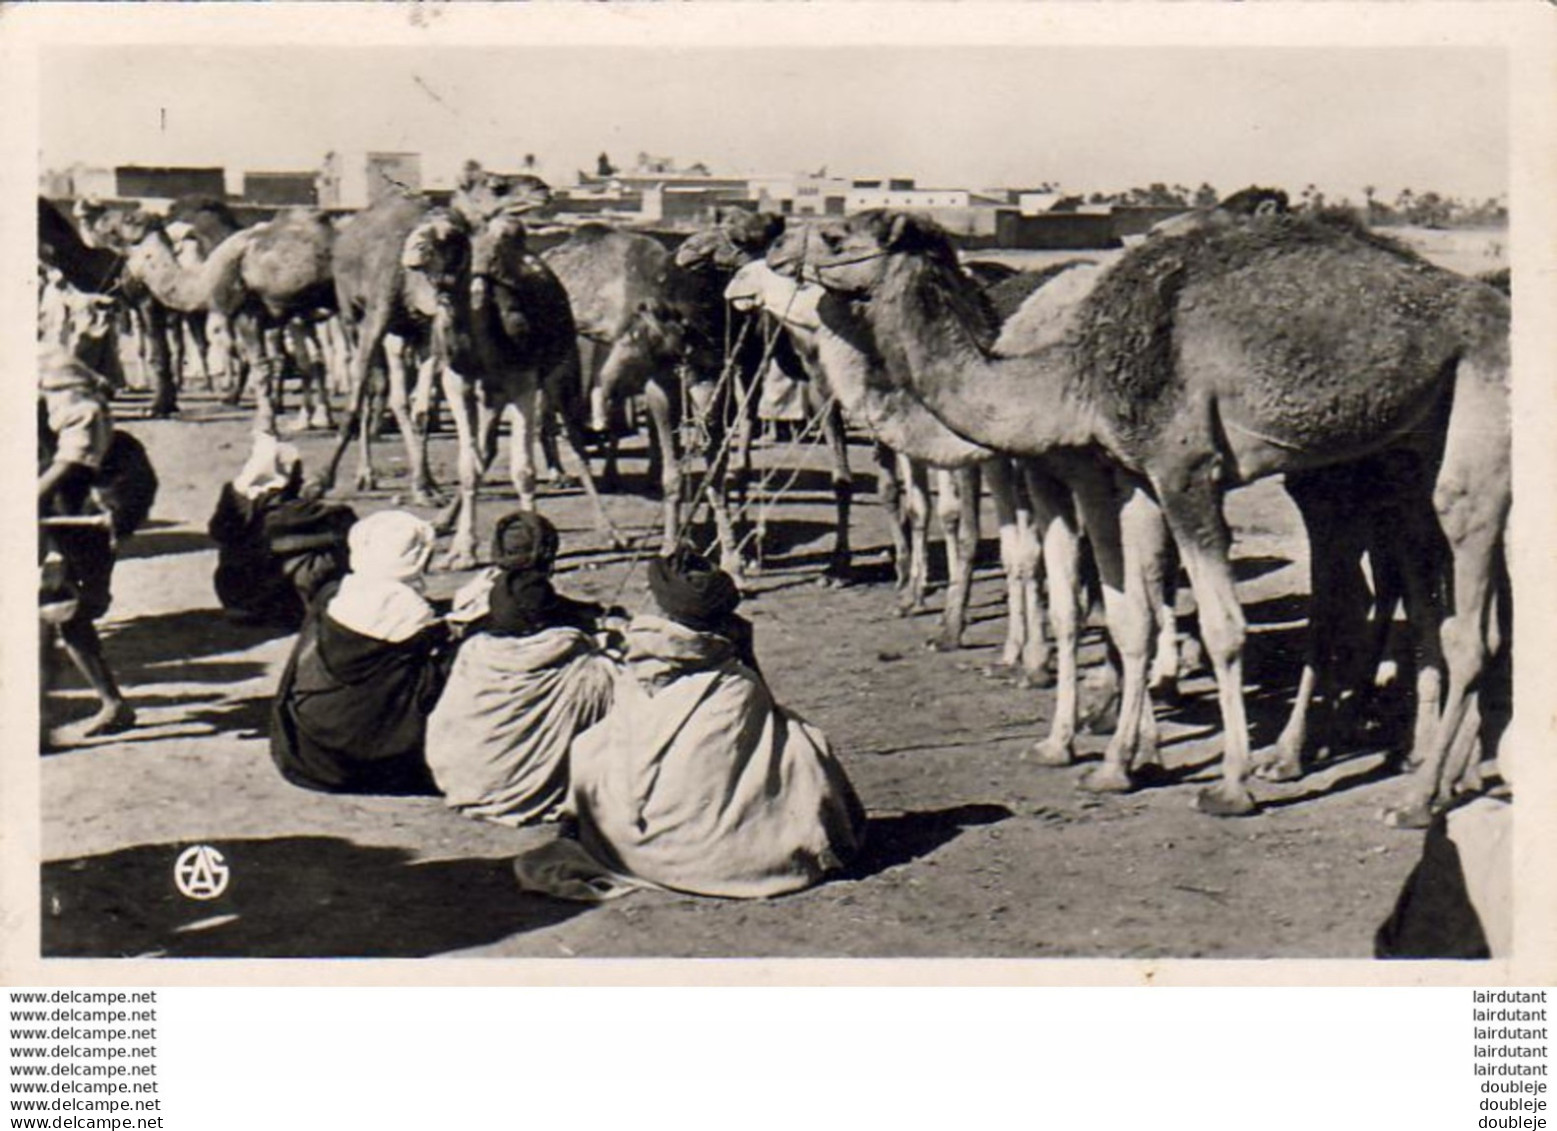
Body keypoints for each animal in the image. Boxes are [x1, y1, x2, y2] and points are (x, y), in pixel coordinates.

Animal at [797, 208, 1500, 822]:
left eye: (835, 235)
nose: (792, 259)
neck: (1070, 372)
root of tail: (1490, 299)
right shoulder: (1136, 477)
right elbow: (1130, 612)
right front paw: (1114, 764)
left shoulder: (1181, 469)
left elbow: (1220, 626)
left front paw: (1227, 786)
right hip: (1391, 464)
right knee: (1410, 598)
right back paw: (1421, 768)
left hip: (1476, 408)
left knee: (1458, 605)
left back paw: (1413, 795)